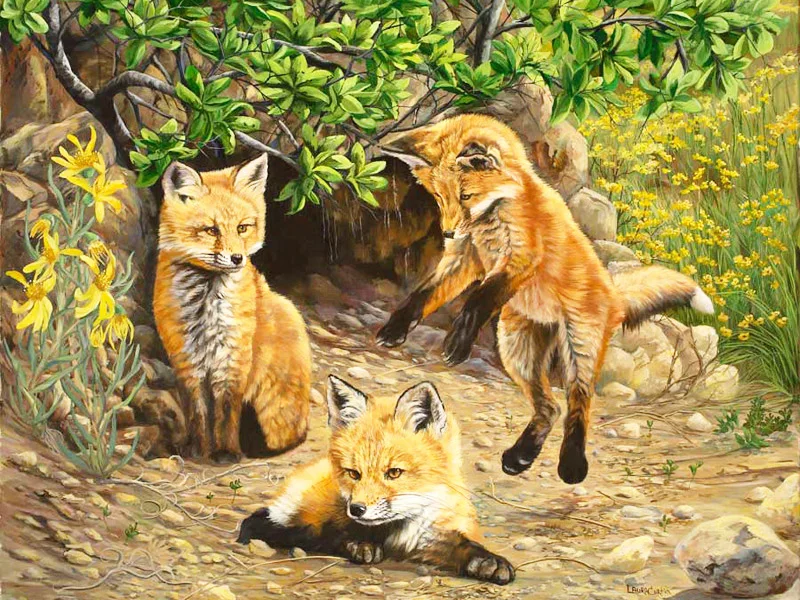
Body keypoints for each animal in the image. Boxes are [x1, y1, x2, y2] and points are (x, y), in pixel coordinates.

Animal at [153, 154, 311, 462]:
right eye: (211, 230)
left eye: (242, 227)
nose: (237, 258)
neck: (204, 307)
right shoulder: (185, 358)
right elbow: (197, 411)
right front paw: (198, 448)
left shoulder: (233, 358)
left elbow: (226, 412)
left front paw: (225, 451)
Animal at [237, 375, 515, 585]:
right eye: (353, 473)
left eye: (394, 472)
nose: (357, 509)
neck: (398, 531)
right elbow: (333, 532)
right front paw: (359, 543)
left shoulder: (431, 532)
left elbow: (460, 543)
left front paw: (487, 560)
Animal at [377, 114, 714, 484]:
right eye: (439, 195)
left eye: (466, 195)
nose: (449, 232)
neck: (494, 217)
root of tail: (613, 294)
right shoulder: (465, 258)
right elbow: (423, 294)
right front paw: (395, 329)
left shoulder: (521, 258)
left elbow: (479, 299)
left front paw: (459, 341)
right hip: (516, 350)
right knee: (550, 407)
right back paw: (521, 456)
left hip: (579, 349)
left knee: (578, 404)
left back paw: (572, 464)